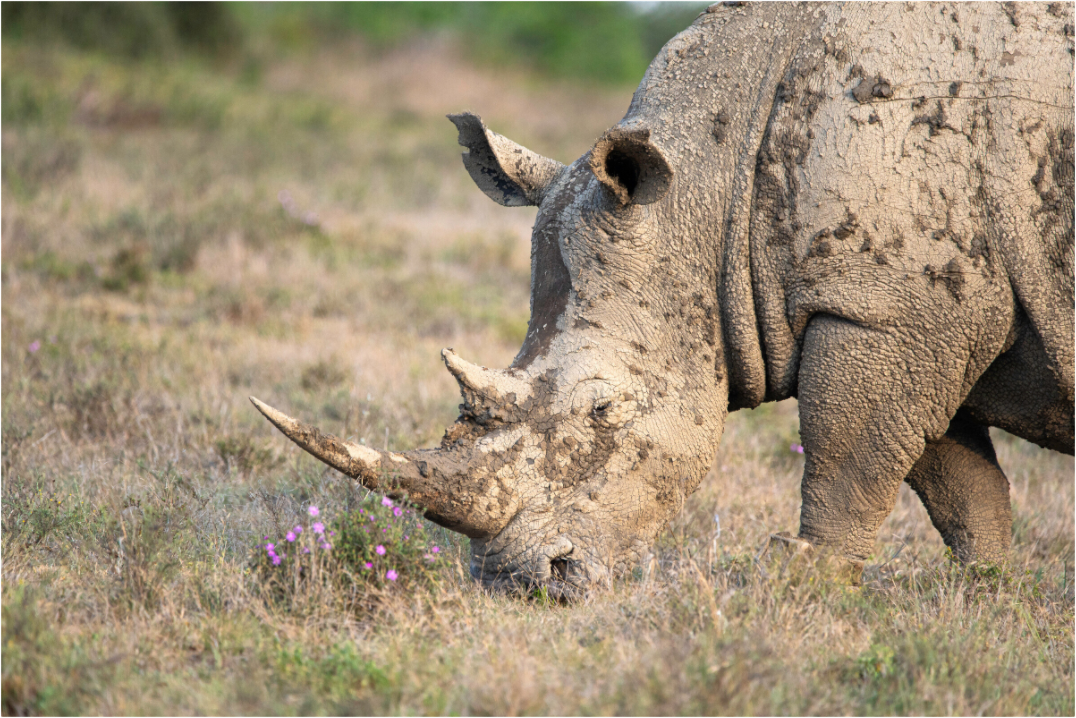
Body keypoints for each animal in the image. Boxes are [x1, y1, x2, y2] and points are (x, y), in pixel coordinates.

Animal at [252, 1, 1075, 596]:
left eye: (604, 410)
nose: (526, 584)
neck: (713, 190)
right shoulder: (917, 311)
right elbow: (956, 480)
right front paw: (989, 594)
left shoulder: (885, 310)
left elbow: (850, 455)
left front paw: (806, 585)